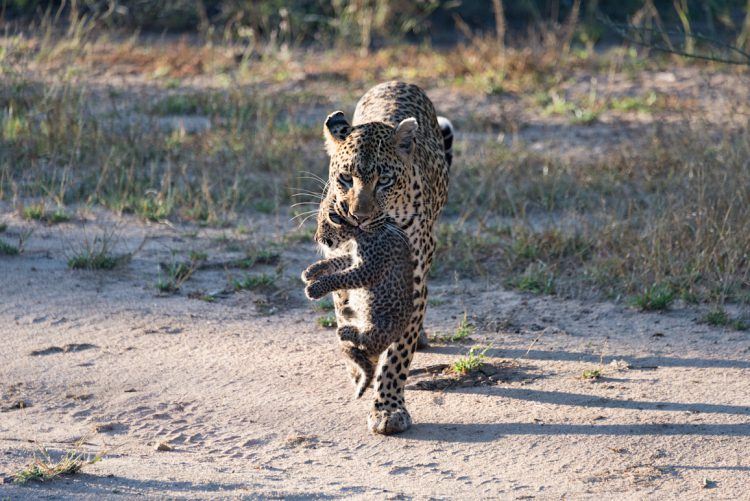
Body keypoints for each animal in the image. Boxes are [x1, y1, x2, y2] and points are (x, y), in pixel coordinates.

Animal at [302, 207, 414, 398]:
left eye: (323, 223)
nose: (316, 238)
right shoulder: (354, 257)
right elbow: (339, 260)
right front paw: (312, 270)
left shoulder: (368, 268)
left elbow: (340, 277)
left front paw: (315, 288)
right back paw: (347, 311)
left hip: (382, 324)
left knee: (367, 341)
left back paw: (346, 331)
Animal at [316, 80, 452, 432]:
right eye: (345, 178)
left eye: (384, 181)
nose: (358, 217)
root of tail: (396, 82)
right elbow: (347, 311)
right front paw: (359, 359)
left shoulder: (411, 280)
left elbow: (397, 354)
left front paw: (388, 409)